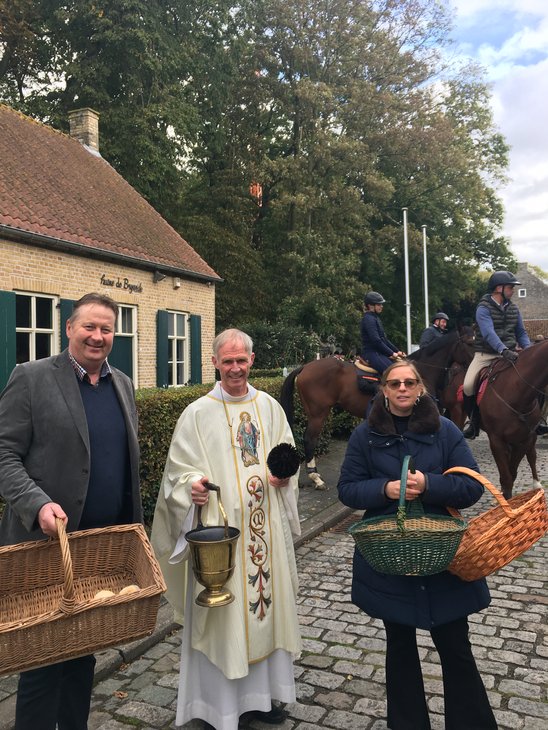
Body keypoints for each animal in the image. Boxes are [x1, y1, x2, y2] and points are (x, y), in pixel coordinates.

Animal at [282, 330, 476, 490]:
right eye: (470, 343)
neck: (422, 371)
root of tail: (305, 366)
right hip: (318, 413)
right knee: (310, 439)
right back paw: (316, 477)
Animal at [476, 338, 548, 498]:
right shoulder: (496, 440)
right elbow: (506, 478)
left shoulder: (523, 439)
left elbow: (512, 474)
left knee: (532, 455)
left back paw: (537, 485)